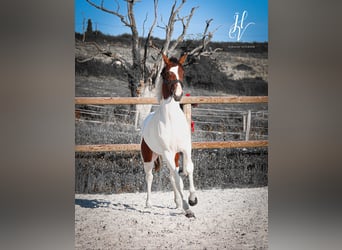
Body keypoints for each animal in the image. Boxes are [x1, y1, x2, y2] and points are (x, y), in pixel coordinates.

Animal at [140, 53, 198, 219]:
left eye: (182, 72)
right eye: (166, 74)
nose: (178, 95)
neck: (171, 121)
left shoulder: (185, 149)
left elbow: (189, 169)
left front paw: (192, 199)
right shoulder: (167, 153)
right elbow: (179, 181)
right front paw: (188, 209)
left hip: (174, 157)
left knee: (172, 175)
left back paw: (177, 203)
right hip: (149, 157)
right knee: (150, 176)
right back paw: (149, 203)